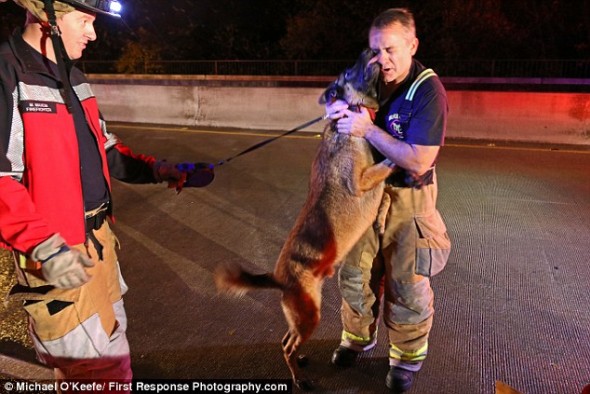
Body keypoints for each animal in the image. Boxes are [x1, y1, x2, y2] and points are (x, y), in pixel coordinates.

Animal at [215, 49, 396, 390]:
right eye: (348, 70)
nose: (369, 50)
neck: (347, 117)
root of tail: (279, 279)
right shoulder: (363, 181)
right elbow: (385, 171)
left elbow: (386, 193)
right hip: (311, 315)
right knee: (286, 347)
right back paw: (299, 379)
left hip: (303, 315)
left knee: (286, 340)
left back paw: (299, 362)